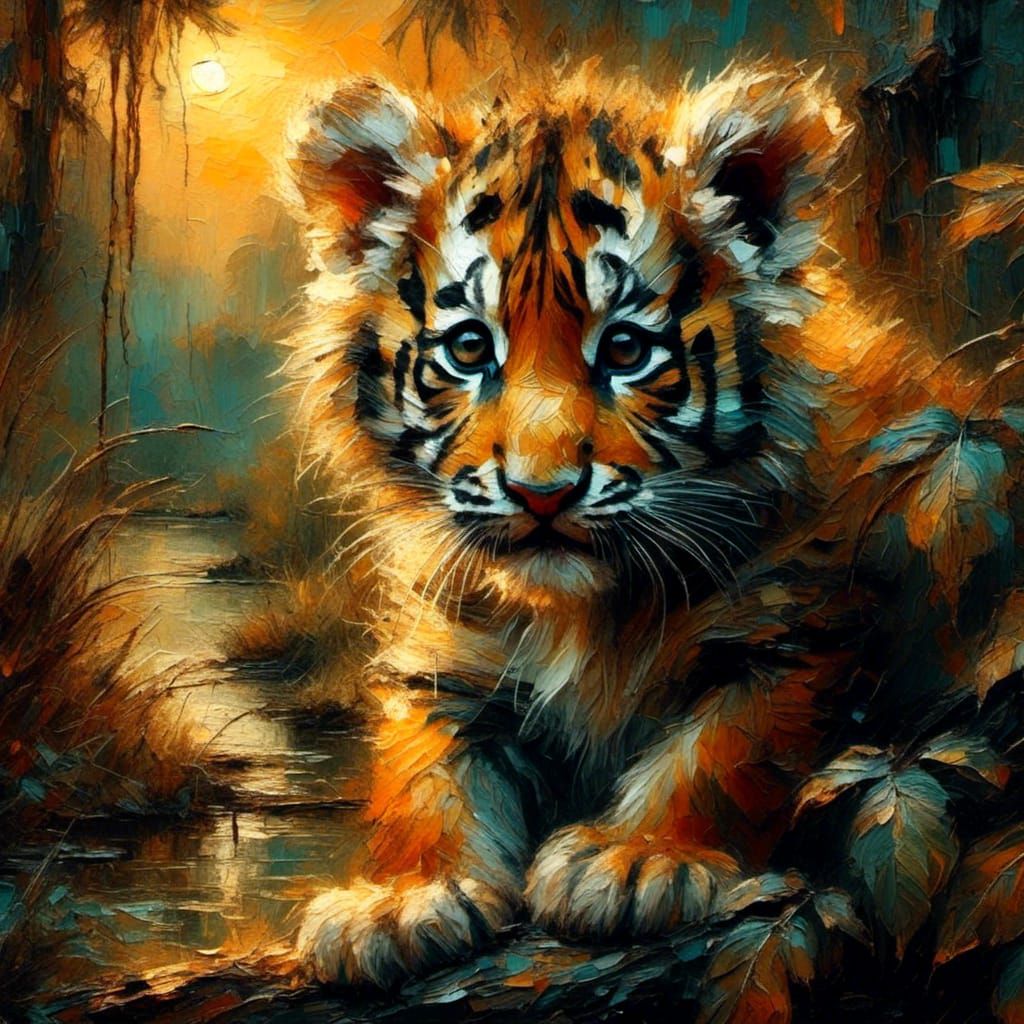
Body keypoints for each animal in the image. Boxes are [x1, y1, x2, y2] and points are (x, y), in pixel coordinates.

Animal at [282, 61, 1023, 986]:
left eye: (627, 351)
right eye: (469, 348)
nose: (541, 493)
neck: (584, 612)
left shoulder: (797, 635)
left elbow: (721, 751)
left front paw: (636, 862)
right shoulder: (448, 665)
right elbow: (421, 776)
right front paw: (397, 901)